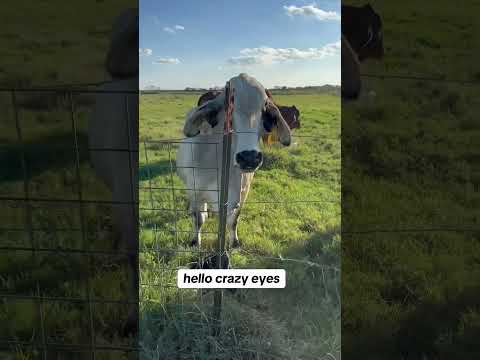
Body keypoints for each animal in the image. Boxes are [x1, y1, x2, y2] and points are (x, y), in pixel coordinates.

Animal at [175, 73, 290, 253]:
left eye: (264, 108)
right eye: (229, 107)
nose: (249, 157)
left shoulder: (241, 195)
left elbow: (234, 220)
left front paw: (234, 243)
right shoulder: (194, 191)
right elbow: (198, 219)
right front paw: (195, 242)